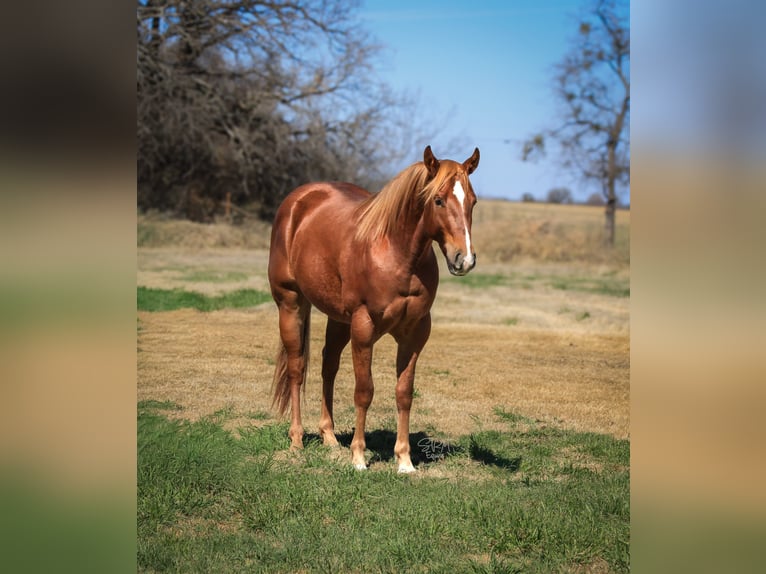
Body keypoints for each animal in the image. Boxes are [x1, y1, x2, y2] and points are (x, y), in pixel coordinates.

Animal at [267, 145, 480, 473]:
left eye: (472, 201)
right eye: (438, 200)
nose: (464, 259)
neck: (396, 253)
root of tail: (298, 202)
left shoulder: (415, 333)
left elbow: (404, 393)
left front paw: (404, 461)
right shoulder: (364, 327)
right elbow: (364, 391)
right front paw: (358, 457)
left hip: (338, 320)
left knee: (328, 366)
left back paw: (329, 438)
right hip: (291, 303)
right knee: (297, 368)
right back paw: (297, 440)